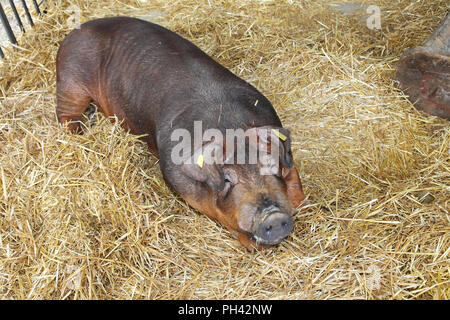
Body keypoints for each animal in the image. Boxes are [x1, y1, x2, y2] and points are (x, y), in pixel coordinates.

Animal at [54, 16, 304, 249]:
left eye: (270, 164)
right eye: (226, 179)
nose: (273, 216)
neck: (230, 124)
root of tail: (75, 31)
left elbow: (296, 182)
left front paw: (299, 203)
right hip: (70, 81)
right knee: (65, 117)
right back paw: (81, 132)